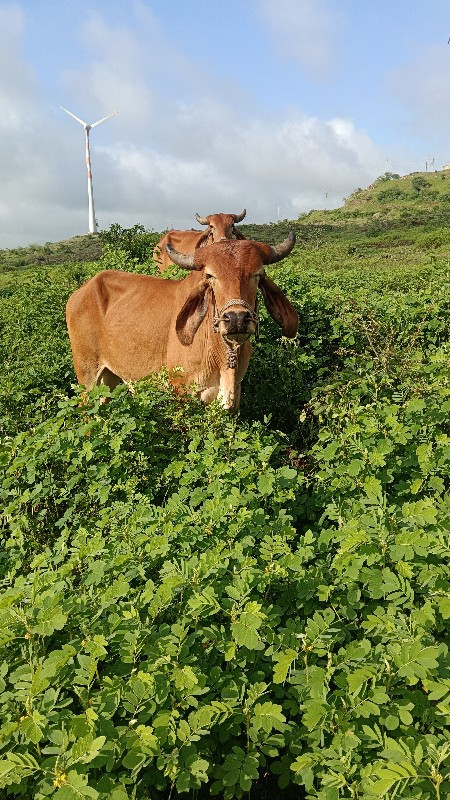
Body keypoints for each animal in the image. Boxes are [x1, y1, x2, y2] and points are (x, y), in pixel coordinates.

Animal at [66, 230, 298, 406]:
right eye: (210, 276)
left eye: (257, 275)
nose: (236, 318)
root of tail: (80, 291)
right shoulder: (182, 391)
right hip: (86, 376)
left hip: (109, 378)